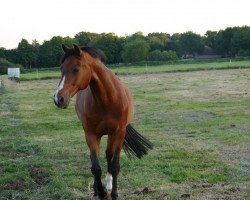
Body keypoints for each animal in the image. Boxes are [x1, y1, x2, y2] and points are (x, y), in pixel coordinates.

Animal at [53, 44, 153, 199]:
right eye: (61, 68)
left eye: (76, 69)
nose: (58, 99)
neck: (108, 100)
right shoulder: (91, 134)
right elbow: (95, 167)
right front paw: (100, 192)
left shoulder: (119, 133)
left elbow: (114, 165)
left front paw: (114, 193)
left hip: (112, 135)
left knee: (108, 155)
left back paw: (109, 184)